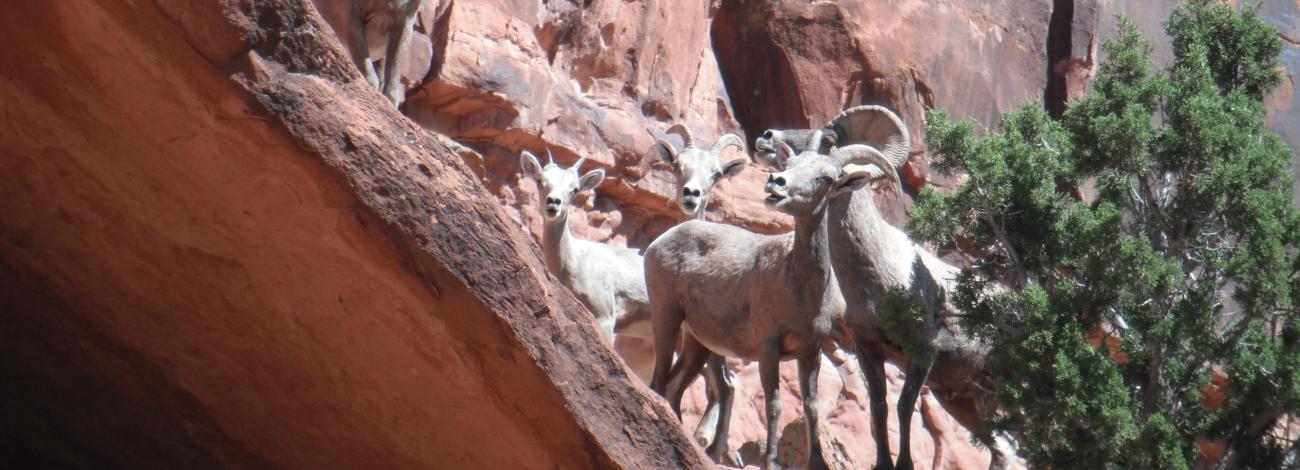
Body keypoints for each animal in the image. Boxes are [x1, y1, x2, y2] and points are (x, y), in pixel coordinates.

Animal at [644, 135, 898, 470]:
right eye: (790, 164)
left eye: (827, 178)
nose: (777, 183)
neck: (801, 289)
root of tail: (662, 240)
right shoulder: (769, 346)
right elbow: (774, 404)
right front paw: (771, 461)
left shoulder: (811, 351)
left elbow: (811, 406)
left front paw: (817, 461)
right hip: (667, 316)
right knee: (659, 381)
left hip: (698, 344)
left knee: (675, 388)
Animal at [755, 107, 1012, 470]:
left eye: (829, 141)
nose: (767, 137)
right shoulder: (868, 350)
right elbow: (879, 407)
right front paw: (883, 463)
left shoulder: (922, 353)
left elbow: (904, 407)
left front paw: (904, 464)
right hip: (963, 401)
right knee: (1001, 450)